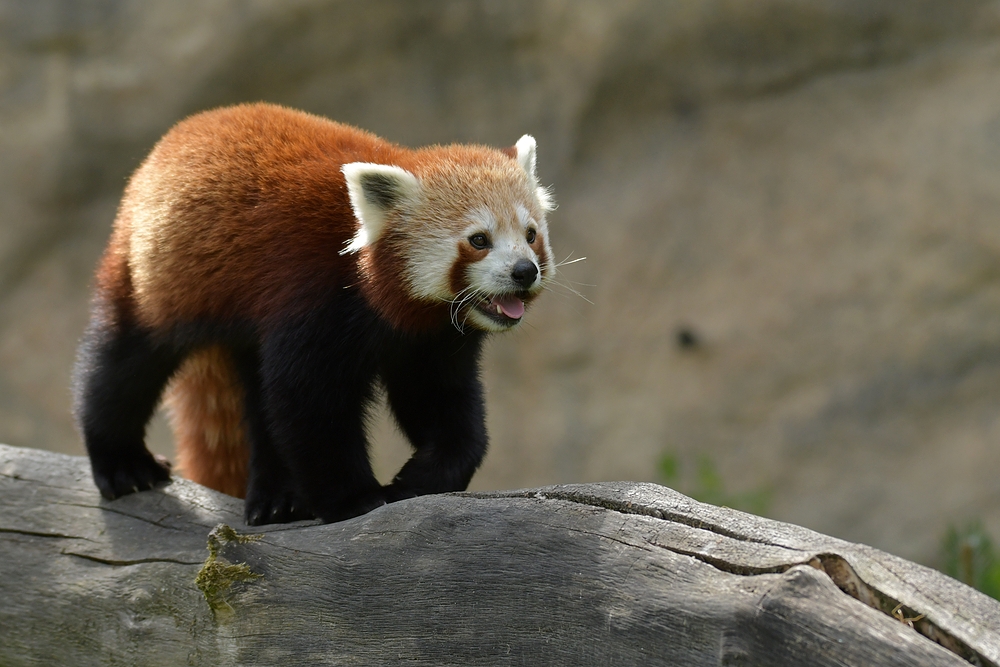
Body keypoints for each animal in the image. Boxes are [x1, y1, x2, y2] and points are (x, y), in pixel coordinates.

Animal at [72, 102, 556, 524]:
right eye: (479, 240)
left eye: (530, 235)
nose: (524, 271)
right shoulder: (311, 298)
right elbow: (308, 405)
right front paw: (355, 499)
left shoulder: (430, 340)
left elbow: (441, 402)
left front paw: (421, 479)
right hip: (155, 276)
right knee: (123, 366)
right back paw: (124, 464)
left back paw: (277, 499)